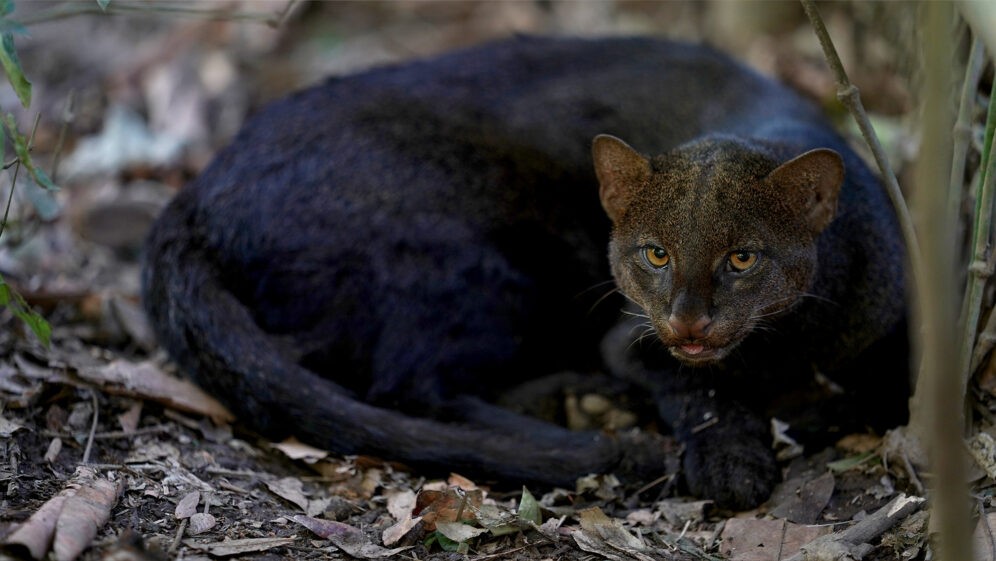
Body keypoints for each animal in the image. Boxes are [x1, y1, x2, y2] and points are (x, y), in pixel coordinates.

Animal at [142, 34, 912, 508]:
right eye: (656, 253)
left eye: (742, 257)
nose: (687, 320)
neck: (787, 344)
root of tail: (195, 195)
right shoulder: (632, 337)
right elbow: (702, 389)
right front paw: (733, 463)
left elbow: (901, 391)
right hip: (482, 263)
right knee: (408, 386)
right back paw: (600, 429)